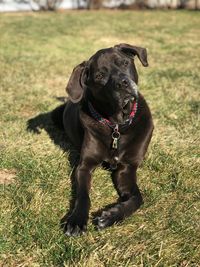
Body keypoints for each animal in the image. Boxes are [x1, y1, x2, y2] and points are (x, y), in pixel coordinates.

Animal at [52, 43, 154, 237]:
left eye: (124, 63)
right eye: (100, 76)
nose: (122, 83)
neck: (117, 126)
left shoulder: (126, 168)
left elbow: (137, 198)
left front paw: (111, 216)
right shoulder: (84, 166)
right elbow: (83, 195)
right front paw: (77, 220)